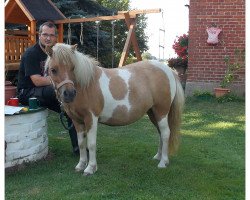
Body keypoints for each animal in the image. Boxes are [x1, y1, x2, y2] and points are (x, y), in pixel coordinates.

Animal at [46, 43, 185, 175]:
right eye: (53, 70)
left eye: (73, 68)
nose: (69, 94)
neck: (86, 85)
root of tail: (169, 71)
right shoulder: (77, 121)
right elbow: (81, 143)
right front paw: (80, 165)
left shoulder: (91, 118)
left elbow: (91, 143)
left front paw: (90, 168)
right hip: (152, 113)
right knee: (160, 133)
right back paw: (158, 157)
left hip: (161, 111)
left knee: (166, 133)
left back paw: (163, 162)